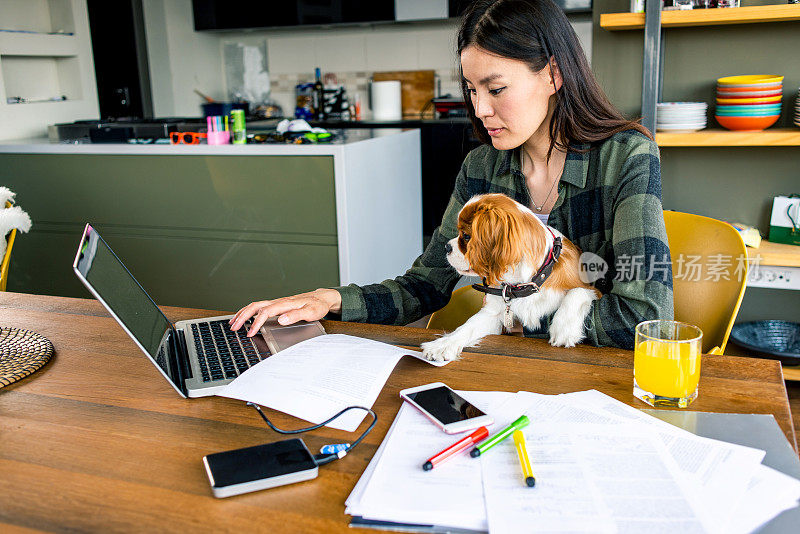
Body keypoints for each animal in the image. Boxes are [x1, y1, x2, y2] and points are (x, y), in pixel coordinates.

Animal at [422, 194, 596, 364]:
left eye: (466, 236)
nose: (447, 247)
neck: (526, 282)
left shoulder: (591, 288)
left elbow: (577, 292)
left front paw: (564, 330)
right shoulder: (492, 313)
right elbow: (467, 327)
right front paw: (442, 345)